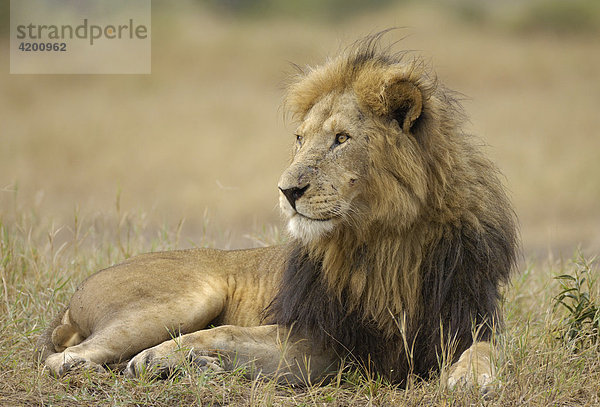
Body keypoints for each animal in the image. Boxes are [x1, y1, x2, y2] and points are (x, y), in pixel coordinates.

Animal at [35, 32, 516, 392]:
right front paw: (157, 357)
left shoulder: (463, 319)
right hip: (191, 295)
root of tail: (72, 301)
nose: (287, 190)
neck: (383, 242)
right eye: (300, 139)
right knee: (62, 359)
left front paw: (472, 378)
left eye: (342, 139)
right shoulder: (319, 337)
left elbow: (487, 350)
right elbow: (224, 333)